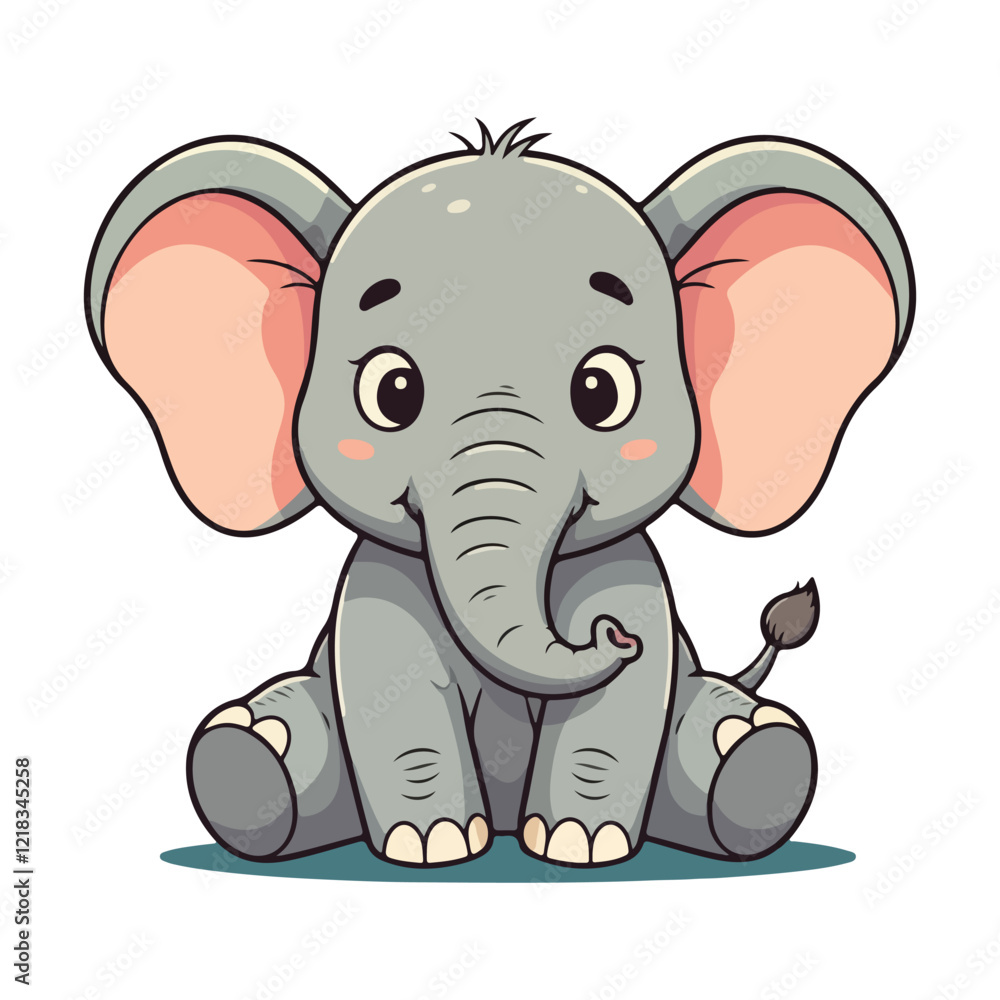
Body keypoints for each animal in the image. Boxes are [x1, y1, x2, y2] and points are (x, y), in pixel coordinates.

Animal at [85, 120, 913, 868]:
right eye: (391, 392)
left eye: (602, 391)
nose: (614, 635)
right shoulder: (379, 587)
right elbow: (395, 693)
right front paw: (433, 847)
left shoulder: (632, 576)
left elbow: (619, 710)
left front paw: (579, 845)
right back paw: (249, 755)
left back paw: (754, 756)